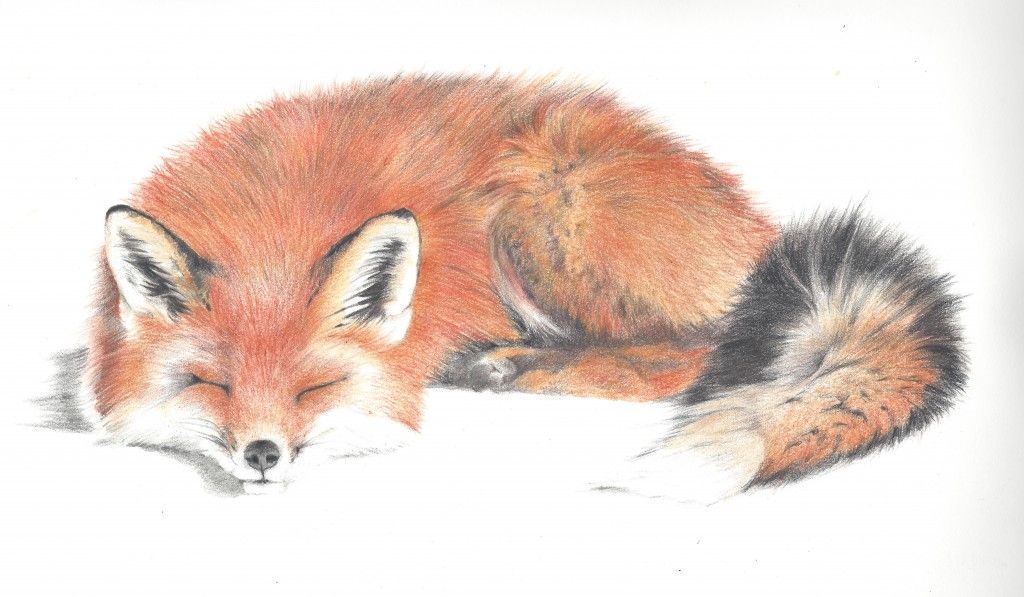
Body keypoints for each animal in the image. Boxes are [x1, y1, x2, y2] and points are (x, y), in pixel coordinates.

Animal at [82, 74, 966, 500]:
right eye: (213, 383)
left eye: (315, 388)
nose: (263, 453)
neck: (272, 227)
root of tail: (758, 225)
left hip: (543, 209)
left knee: (700, 354)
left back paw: (517, 365)